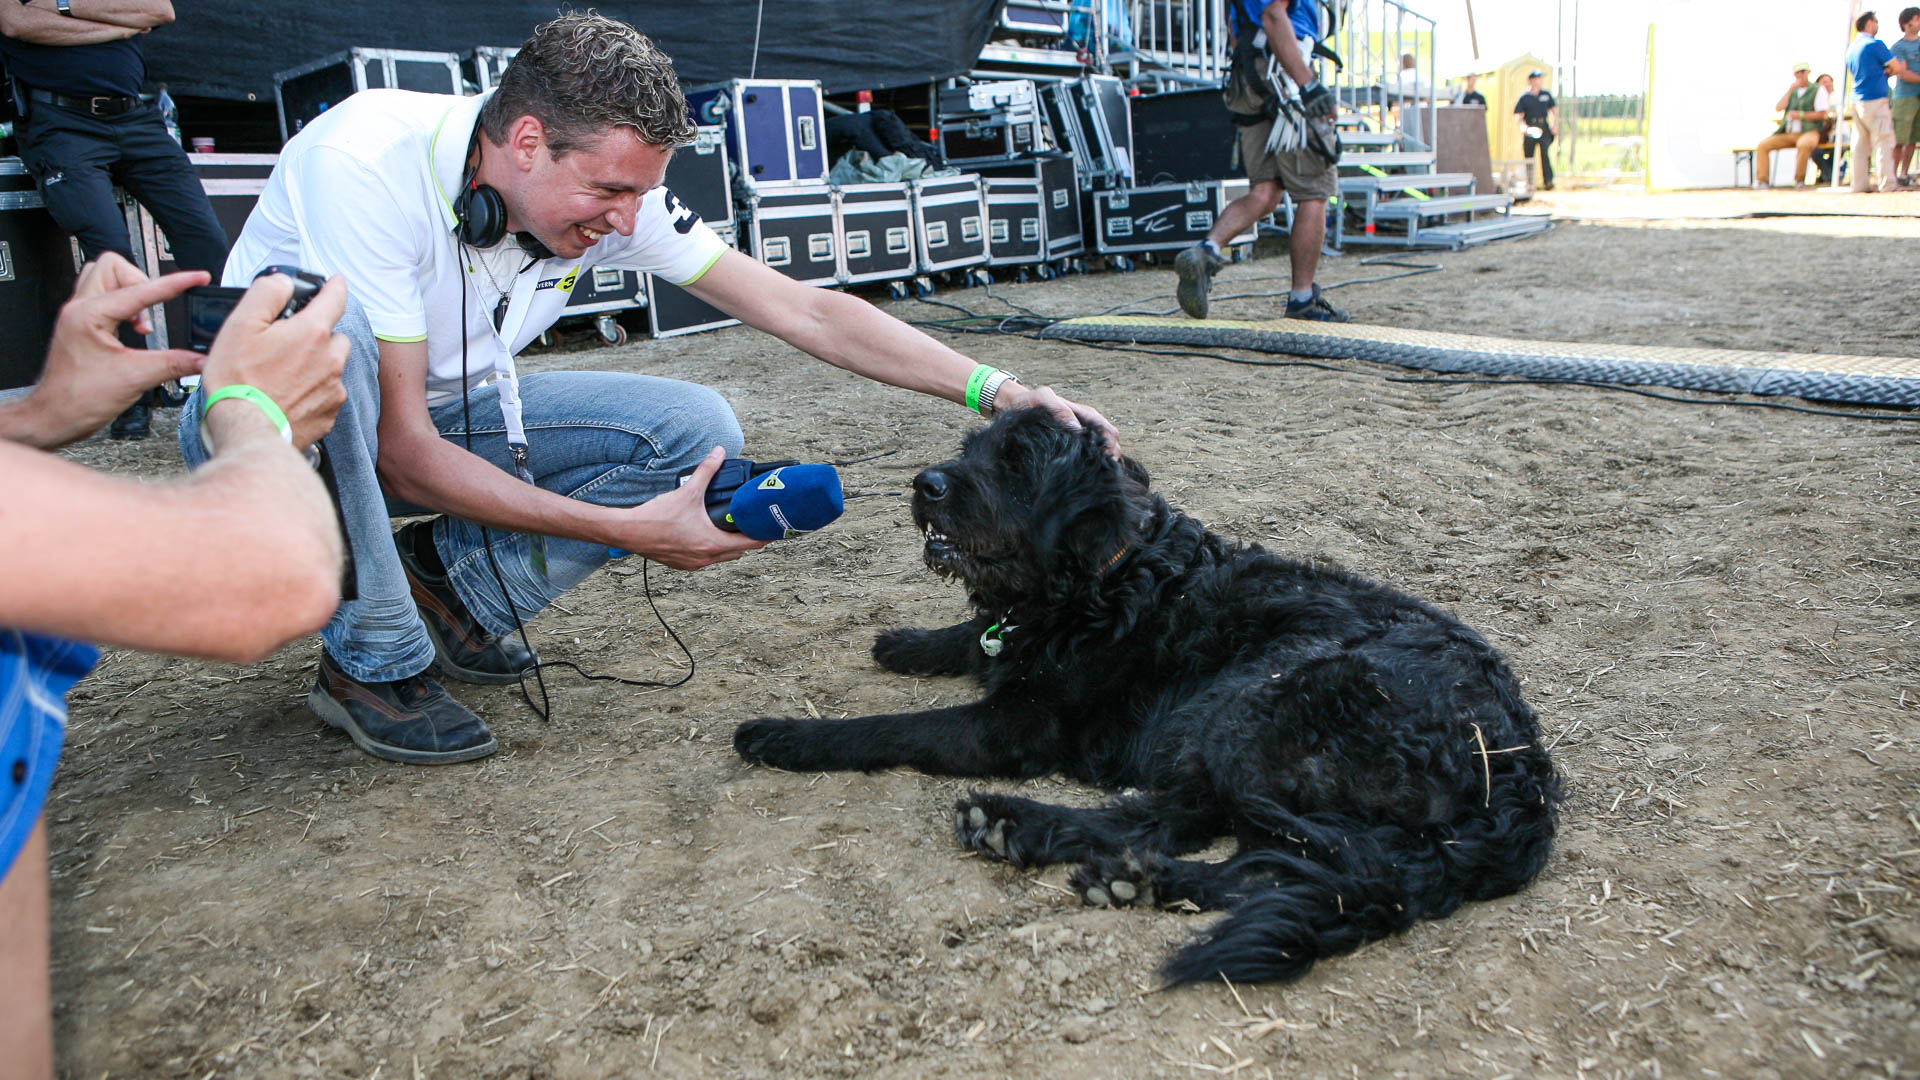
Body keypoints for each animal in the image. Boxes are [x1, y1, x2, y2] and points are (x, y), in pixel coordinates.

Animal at [733, 407, 1559, 980]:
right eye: (970, 450)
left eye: (1018, 464)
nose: (924, 484)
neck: (1108, 574)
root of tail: (1519, 764)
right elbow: (974, 638)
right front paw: (905, 641)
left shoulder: (1011, 725)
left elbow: (888, 728)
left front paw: (785, 734)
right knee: (1249, 849)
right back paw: (1128, 877)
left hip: (1259, 701)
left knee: (1250, 841)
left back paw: (1026, 829)